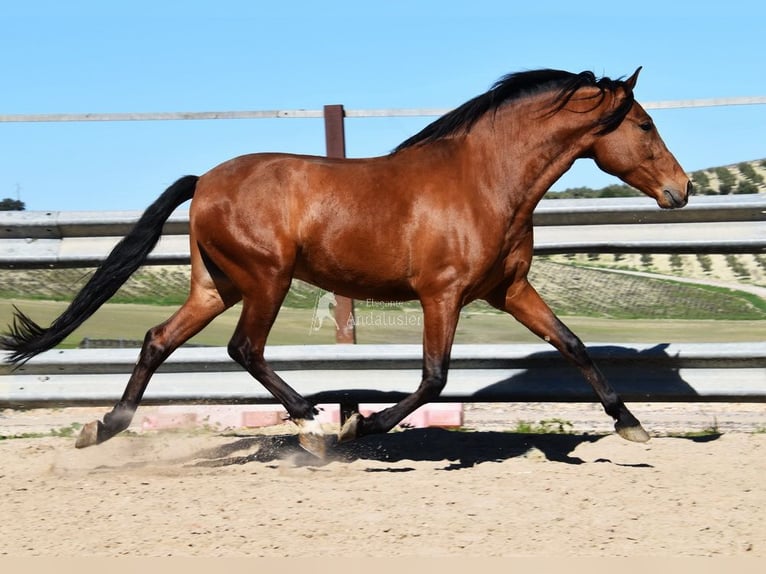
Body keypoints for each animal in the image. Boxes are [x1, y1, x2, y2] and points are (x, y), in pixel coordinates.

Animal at [1, 67, 691, 457]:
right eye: (646, 124)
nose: (680, 190)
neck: (486, 180)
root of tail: (205, 181)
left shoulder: (510, 290)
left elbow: (573, 345)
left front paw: (631, 425)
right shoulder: (442, 294)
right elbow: (434, 378)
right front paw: (361, 426)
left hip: (217, 286)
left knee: (157, 340)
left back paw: (102, 428)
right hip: (266, 279)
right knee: (244, 349)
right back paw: (312, 423)